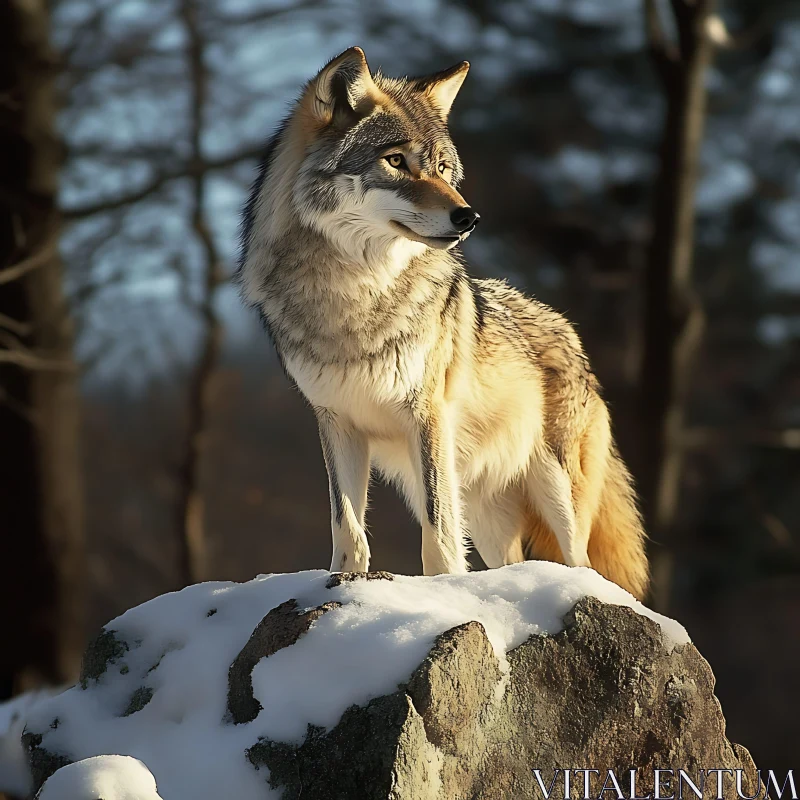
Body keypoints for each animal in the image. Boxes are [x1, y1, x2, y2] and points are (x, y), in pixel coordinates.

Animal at [236, 47, 648, 600]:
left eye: (443, 169)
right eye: (395, 161)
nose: (469, 217)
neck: (352, 295)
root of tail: (568, 331)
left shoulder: (425, 414)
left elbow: (437, 533)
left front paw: (440, 590)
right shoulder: (336, 421)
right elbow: (347, 525)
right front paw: (343, 582)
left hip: (556, 492)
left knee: (578, 563)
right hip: (483, 509)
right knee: (511, 560)